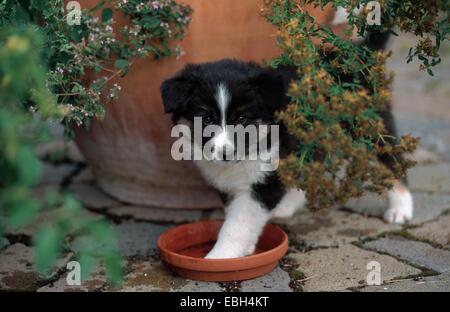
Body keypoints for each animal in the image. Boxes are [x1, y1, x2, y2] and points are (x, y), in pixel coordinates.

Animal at [160, 58, 414, 258]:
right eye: (206, 119)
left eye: (242, 118)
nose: (225, 153)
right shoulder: (231, 184)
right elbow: (235, 214)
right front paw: (245, 247)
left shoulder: (265, 180)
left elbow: (237, 223)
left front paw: (220, 257)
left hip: (370, 132)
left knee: (392, 164)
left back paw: (400, 209)